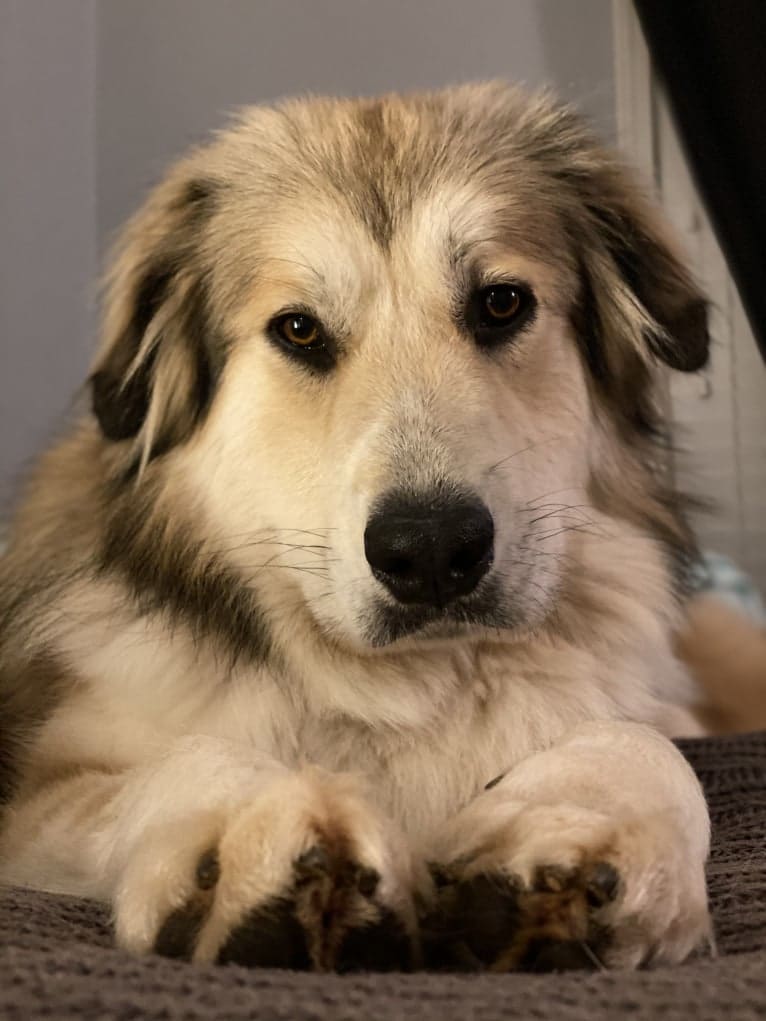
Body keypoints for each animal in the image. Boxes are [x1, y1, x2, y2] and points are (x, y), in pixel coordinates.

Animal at [0, 81, 759, 971]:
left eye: (501, 303)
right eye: (298, 329)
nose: (432, 550)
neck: (414, 687)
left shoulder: (654, 711)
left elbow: (649, 744)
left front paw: (588, 820)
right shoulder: (43, 794)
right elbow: (182, 762)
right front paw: (247, 829)